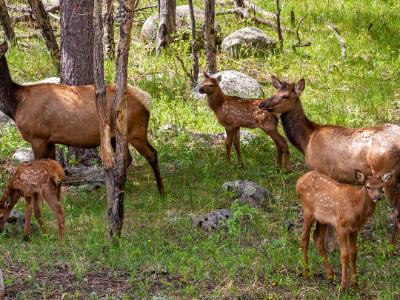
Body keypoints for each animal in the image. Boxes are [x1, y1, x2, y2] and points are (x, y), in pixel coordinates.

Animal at [0, 41, 164, 192]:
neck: (16, 105)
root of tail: (146, 98)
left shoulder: (37, 136)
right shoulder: (49, 139)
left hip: (136, 130)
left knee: (152, 154)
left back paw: (160, 191)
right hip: (116, 135)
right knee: (127, 158)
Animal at [260, 76, 400, 247]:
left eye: (285, 96)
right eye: (274, 92)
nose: (262, 104)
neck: (306, 140)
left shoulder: (322, 170)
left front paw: (330, 244)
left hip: (387, 174)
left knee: (397, 211)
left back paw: (391, 246)